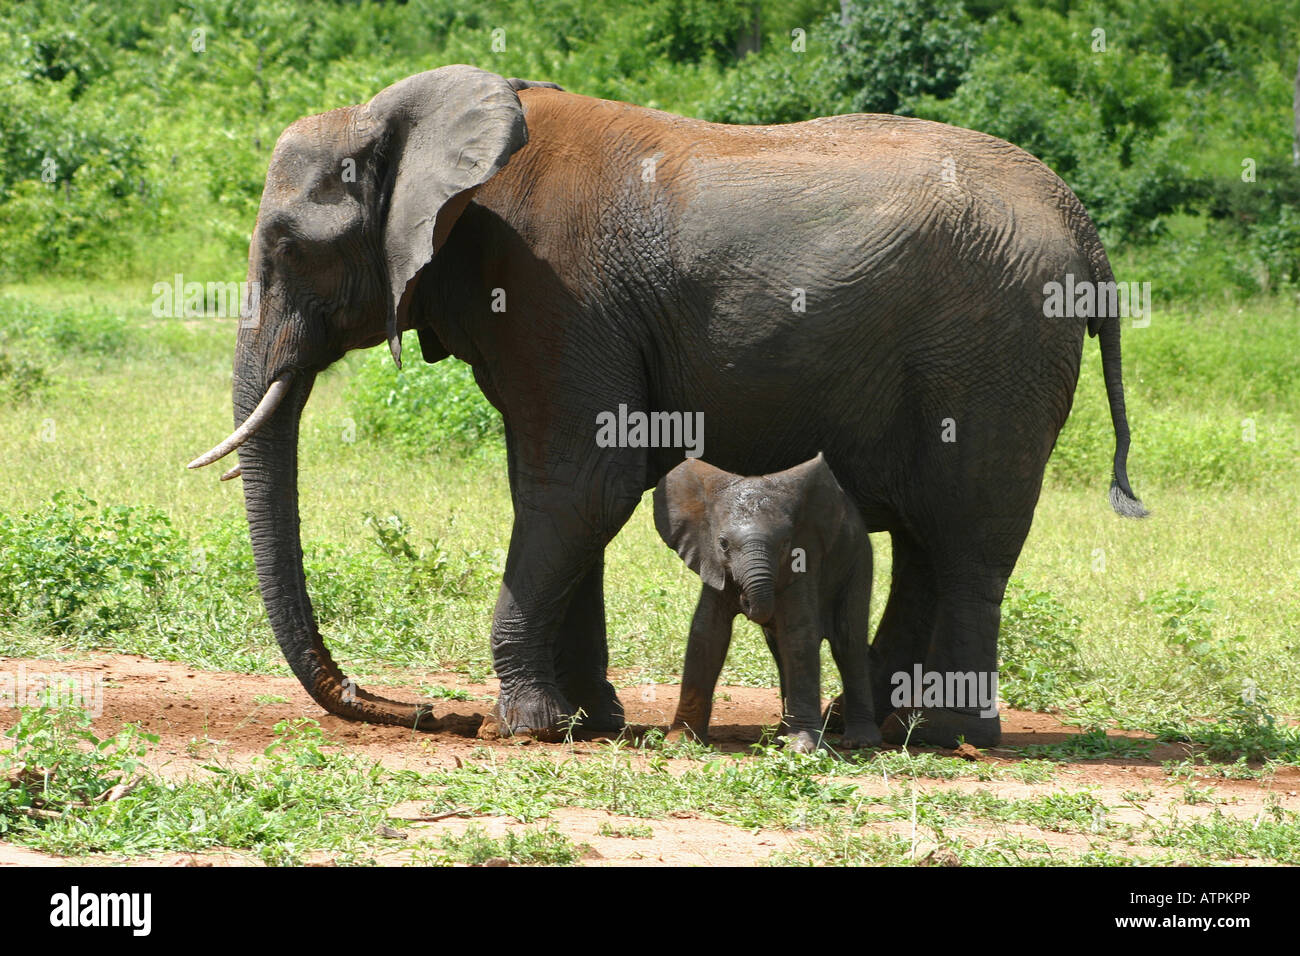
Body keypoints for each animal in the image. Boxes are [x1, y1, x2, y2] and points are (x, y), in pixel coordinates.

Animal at [654, 453, 880, 752]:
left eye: (785, 543)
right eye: (723, 544)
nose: (745, 599)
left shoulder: (805, 556)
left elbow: (798, 634)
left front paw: (803, 749)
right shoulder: (710, 561)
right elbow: (707, 632)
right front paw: (680, 743)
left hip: (859, 561)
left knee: (848, 643)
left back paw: (859, 742)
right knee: (779, 649)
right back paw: (779, 739)